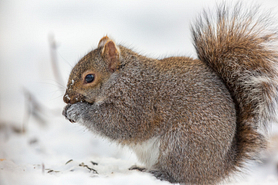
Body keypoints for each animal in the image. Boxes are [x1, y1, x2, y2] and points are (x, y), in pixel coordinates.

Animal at [62, 3, 276, 185]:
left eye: (89, 77)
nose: (66, 98)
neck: (123, 79)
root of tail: (220, 167)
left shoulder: (137, 103)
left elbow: (116, 123)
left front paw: (77, 110)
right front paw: (66, 109)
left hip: (182, 145)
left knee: (180, 175)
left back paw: (158, 174)